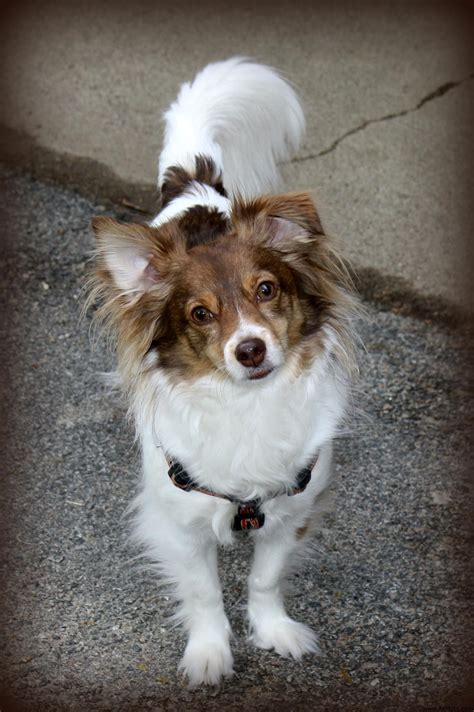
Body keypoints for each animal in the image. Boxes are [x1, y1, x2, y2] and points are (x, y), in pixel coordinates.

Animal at [89, 58, 358, 688]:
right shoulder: (179, 524)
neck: (247, 407)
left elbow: (265, 579)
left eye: (267, 290)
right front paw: (210, 653)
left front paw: (274, 631)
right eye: (200, 315)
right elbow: (204, 592)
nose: (251, 350)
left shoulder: (291, 514)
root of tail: (193, 186)